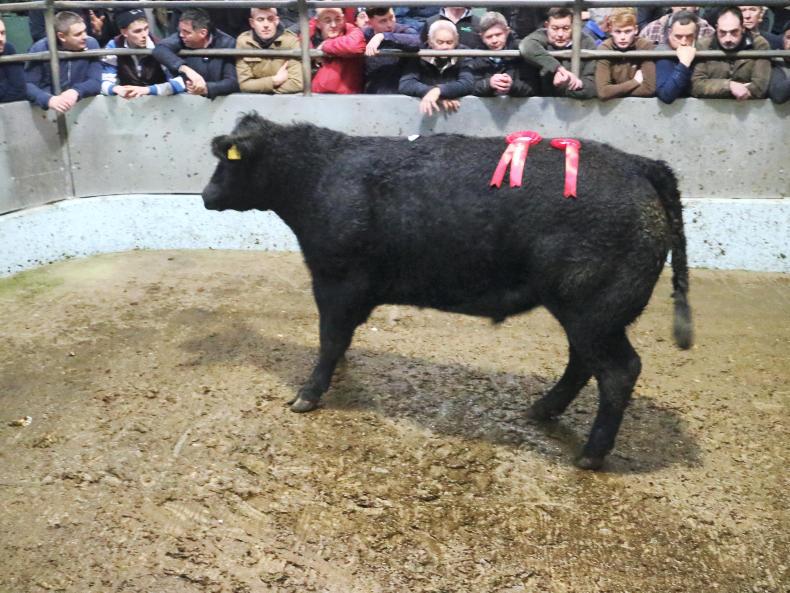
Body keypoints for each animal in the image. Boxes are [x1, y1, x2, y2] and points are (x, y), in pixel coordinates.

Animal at [201, 113, 693, 470]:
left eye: (227, 161)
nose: (205, 195)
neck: (317, 175)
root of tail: (639, 165)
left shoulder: (336, 281)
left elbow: (329, 339)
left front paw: (307, 394)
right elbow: (339, 340)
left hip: (594, 310)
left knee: (618, 371)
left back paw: (589, 455)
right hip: (587, 313)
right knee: (583, 363)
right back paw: (542, 410)